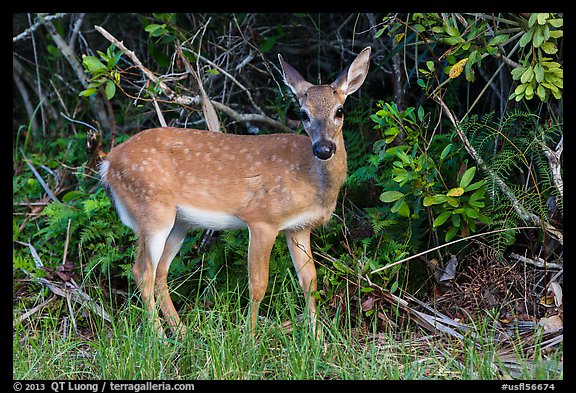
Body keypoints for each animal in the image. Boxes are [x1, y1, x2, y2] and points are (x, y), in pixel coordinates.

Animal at [99, 46, 372, 336]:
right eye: (303, 113)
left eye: (340, 110)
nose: (323, 148)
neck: (310, 179)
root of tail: (108, 163)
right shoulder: (262, 218)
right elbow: (258, 284)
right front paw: (250, 337)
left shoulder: (299, 226)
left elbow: (310, 280)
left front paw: (317, 338)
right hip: (152, 211)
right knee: (142, 272)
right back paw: (160, 337)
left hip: (179, 222)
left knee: (160, 272)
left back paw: (182, 333)